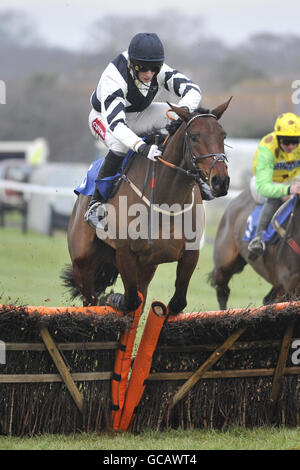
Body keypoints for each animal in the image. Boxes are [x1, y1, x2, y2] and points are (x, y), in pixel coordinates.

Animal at [62, 99, 232, 314]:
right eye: (194, 137)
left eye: (223, 135)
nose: (221, 181)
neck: (167, 201)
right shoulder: (125, 253)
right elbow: (130, 300)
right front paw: (113, 299)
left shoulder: (190, 254)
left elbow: (175, 303)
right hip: (83, 265)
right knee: (90, 301)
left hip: (146, 267)